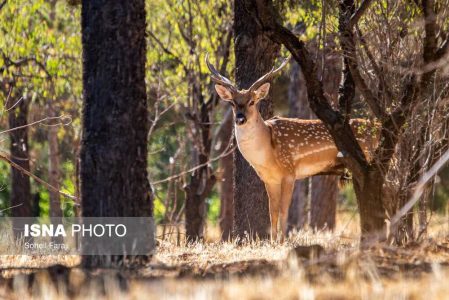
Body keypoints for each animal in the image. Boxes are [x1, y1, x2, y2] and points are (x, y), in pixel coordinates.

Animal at [206, 56, 378, 243]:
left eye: (252, 102)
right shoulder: (269, 179)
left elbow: (283, 209)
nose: (240, 118)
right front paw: (273, 241)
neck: (267, 155)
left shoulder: (290, 171)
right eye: (232, 103)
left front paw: (283, 240)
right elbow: (272, 211)